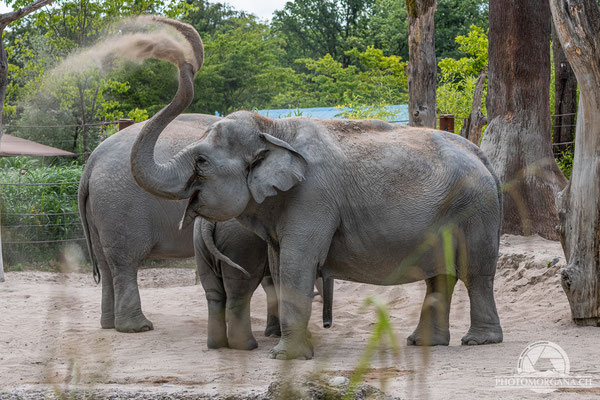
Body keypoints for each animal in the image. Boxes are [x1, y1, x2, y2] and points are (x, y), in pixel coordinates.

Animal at [129, 17, 504, 360]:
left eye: (202, 161)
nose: (184, 59)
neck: (273, 128)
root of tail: (481, 155)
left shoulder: (313, 197)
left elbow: (297, 262)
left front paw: (285, 357)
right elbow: (280, 264)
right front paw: (298, 351)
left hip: (476, 208)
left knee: (476, 271)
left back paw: (479, 341)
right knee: (440, 275)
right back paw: (425, 343)